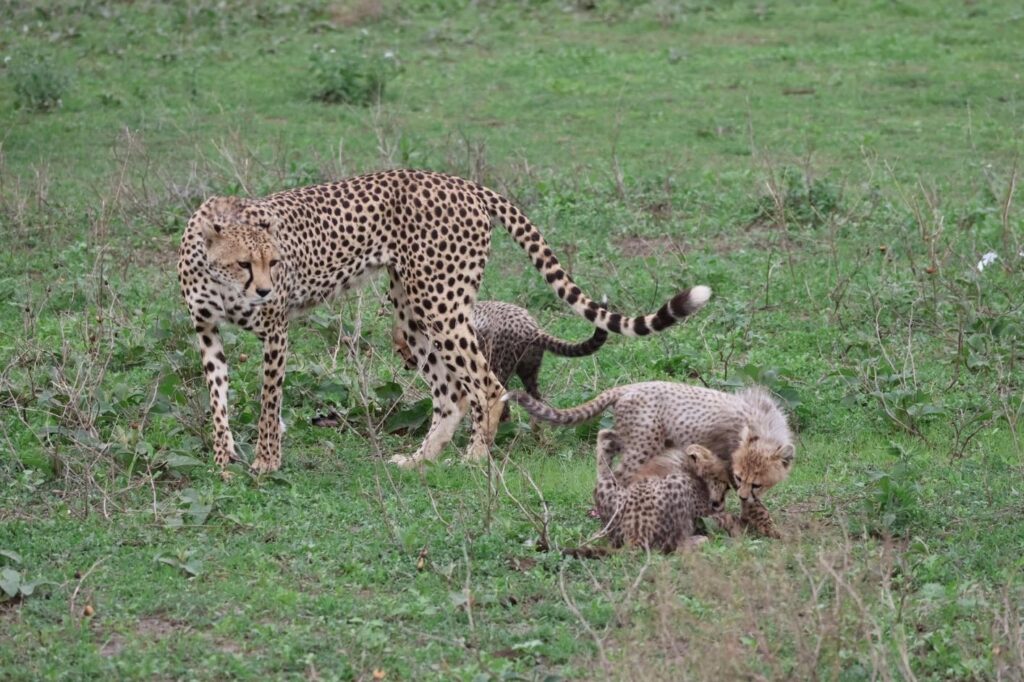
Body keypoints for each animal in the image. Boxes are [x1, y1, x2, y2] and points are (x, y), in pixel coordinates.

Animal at [393, 299, 609, 422]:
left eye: (401, 350)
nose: (406, 364)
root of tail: (531, 328)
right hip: (529, 372)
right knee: (537, 402)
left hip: (498, 368)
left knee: (501, 399)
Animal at [507, 382, 794, 538]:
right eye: (740, 477)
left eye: (757, 483)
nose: (744, 494)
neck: (765, 429)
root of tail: (631, 385)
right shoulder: (728, 463)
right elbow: (754, 507)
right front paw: (775, 532)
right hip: (645, 442)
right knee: (622, 475)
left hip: (637, 437)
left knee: (605, 436)